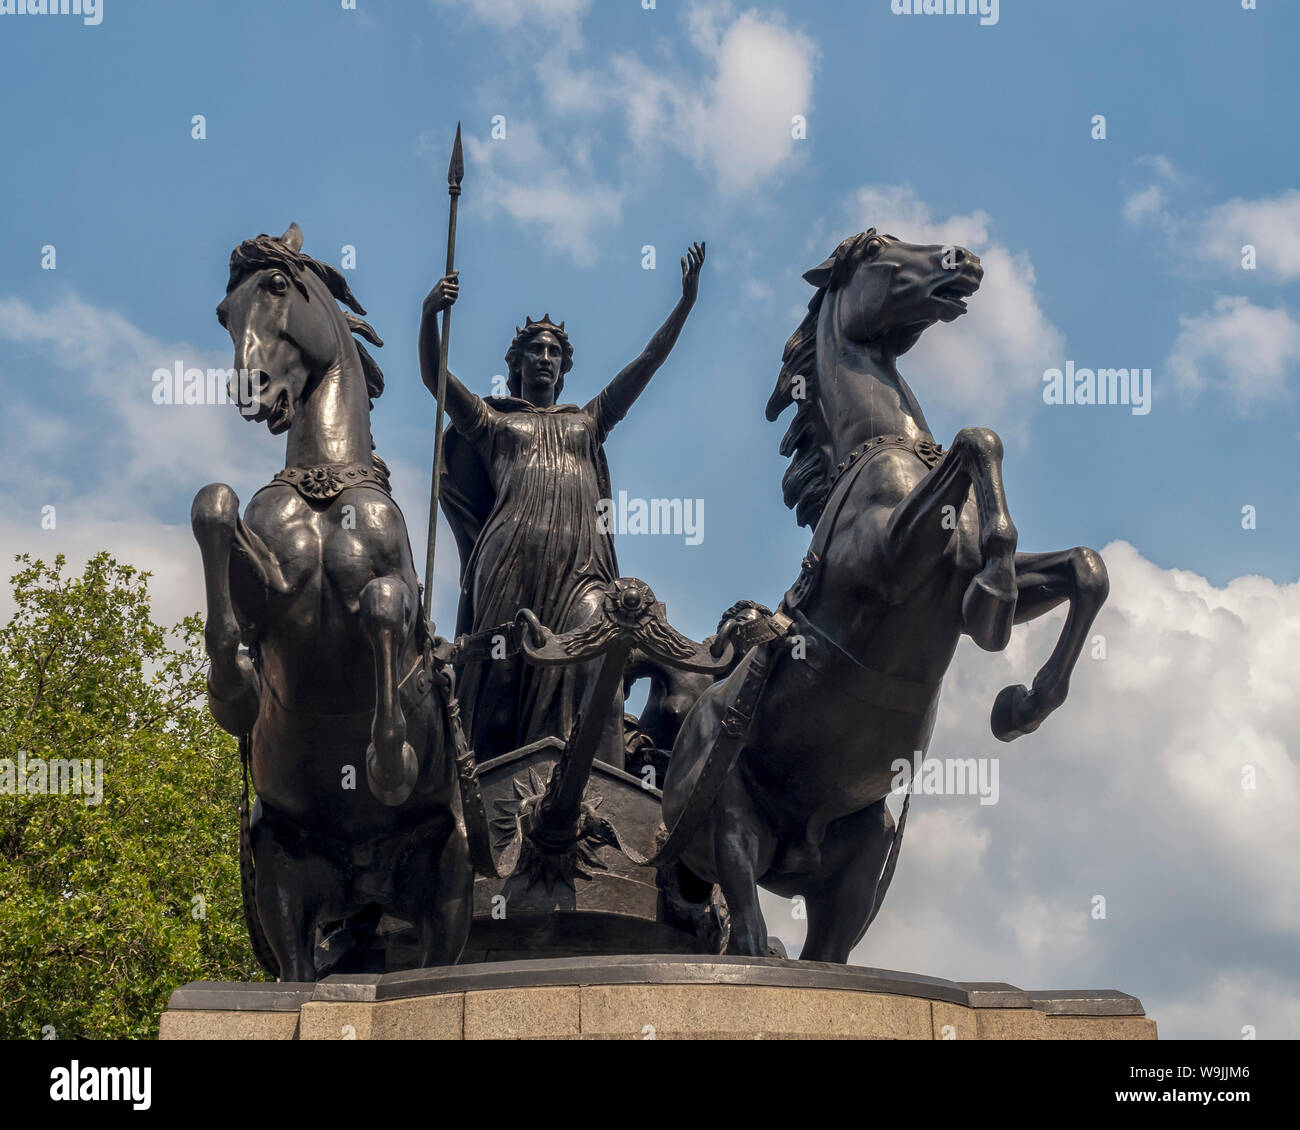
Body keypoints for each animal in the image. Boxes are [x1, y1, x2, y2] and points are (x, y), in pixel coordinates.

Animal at [192, 222, 473, 977]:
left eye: (276, 287)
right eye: (224, 313)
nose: (252, 391)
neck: (325, 483)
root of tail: (366, 878)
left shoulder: (397, 593)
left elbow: (380, 609)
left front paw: (388, 762)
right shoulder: (272, 595)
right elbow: (213, 504)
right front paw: (233, 688)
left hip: (446, 888)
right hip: (284, 880)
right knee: (296, 969)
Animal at [660, 228, 1107, 962]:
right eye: (875, 249)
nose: (964, 260)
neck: (882, 446)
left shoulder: (953, 581)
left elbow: (1085, 569)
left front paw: (1020, 704)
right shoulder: (892, 558)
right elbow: (978, 438)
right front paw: (996, 601)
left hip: (863, 854)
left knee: (826, 953)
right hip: (728, 825)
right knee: (748, 929)